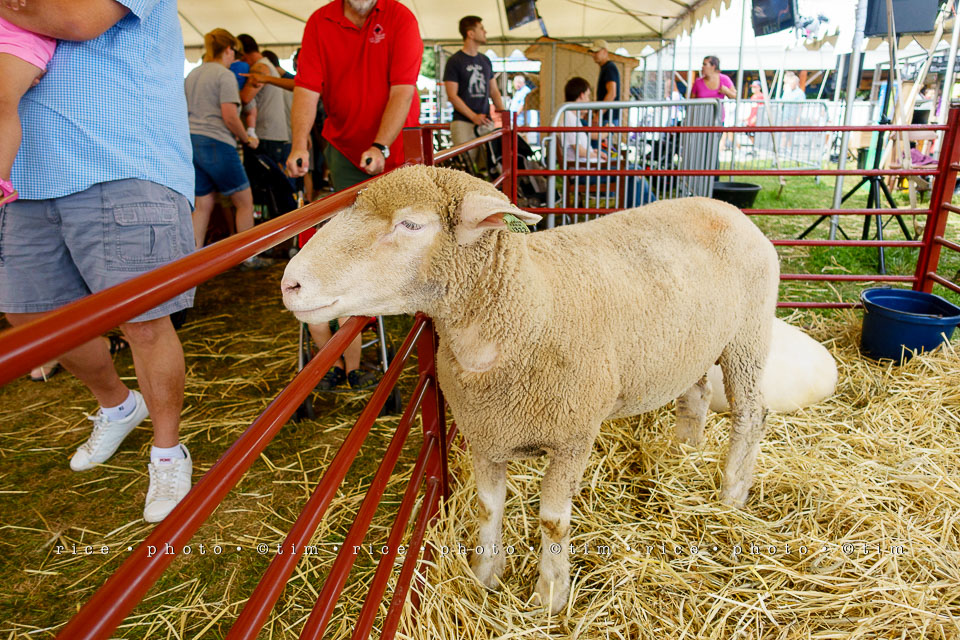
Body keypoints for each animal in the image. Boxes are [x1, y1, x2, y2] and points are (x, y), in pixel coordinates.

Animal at [280, 165, 780, 614]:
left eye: (411, 224)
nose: (290, 283)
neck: (528, 308)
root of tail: (726, 207)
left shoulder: (573, 438)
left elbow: (553, 522)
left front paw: (549, 597)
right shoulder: (484, 433)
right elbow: (487, 507)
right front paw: (484, 576)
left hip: (748, 337)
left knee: (751, 415)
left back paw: (732, 493)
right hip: (694, 344)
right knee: (696, 395)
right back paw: (682, 452)